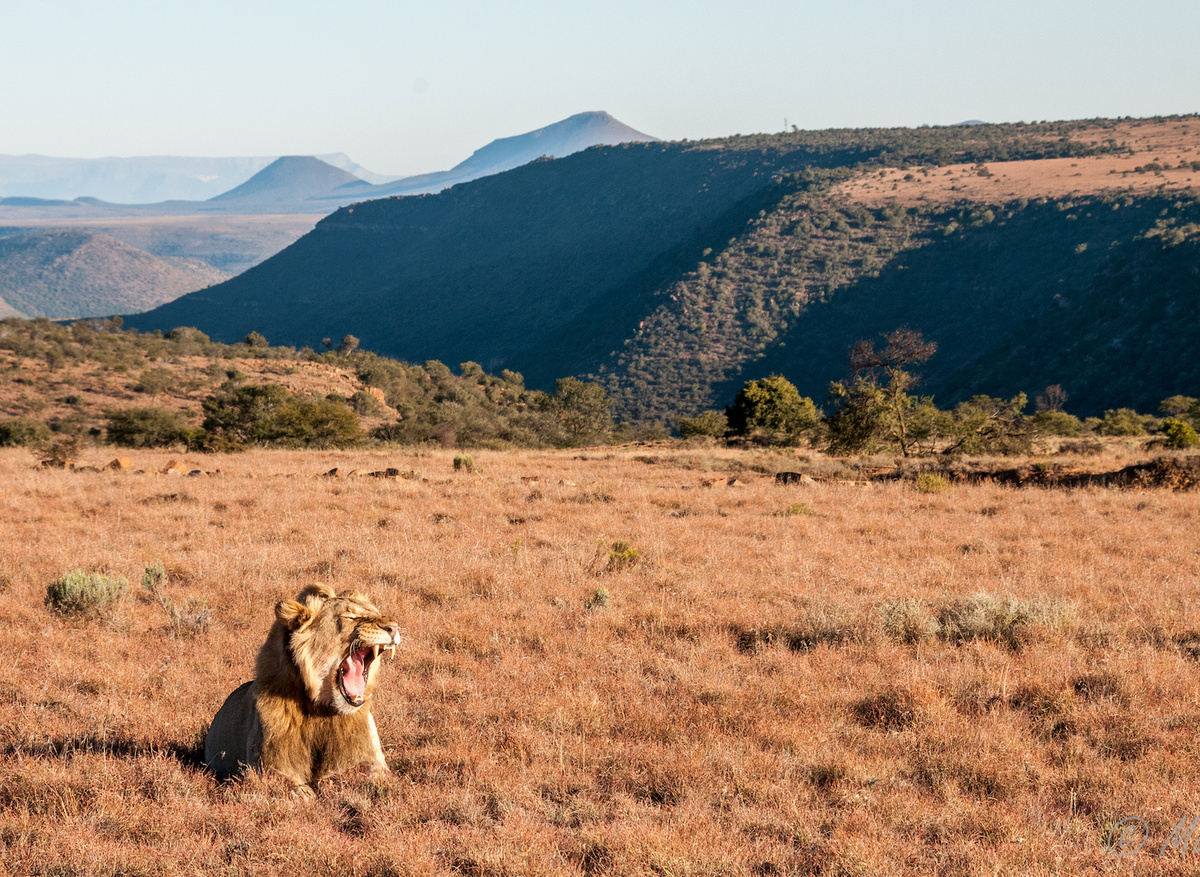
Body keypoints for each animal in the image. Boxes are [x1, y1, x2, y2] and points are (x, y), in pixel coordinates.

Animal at [205, 583, 402, 797]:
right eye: (350, 617)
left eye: (377, 613)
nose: (393, 628)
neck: (321, 711)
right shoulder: (266, 766)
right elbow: (292, 788)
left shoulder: (372, 759)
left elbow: (366, 773)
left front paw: (329, 782)